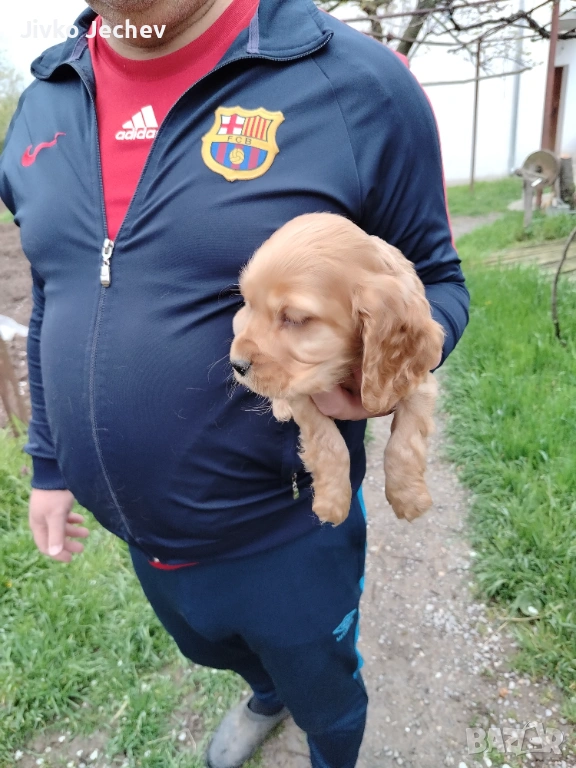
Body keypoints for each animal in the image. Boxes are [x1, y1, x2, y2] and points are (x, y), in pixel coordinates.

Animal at [230, 213, 445, 525]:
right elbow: (330, 444)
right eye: (249, 303)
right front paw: (332, 502)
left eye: (296, 319)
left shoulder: (416, 380)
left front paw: (408, 497)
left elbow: (403, 443)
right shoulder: (303, 394)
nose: (237, 365)